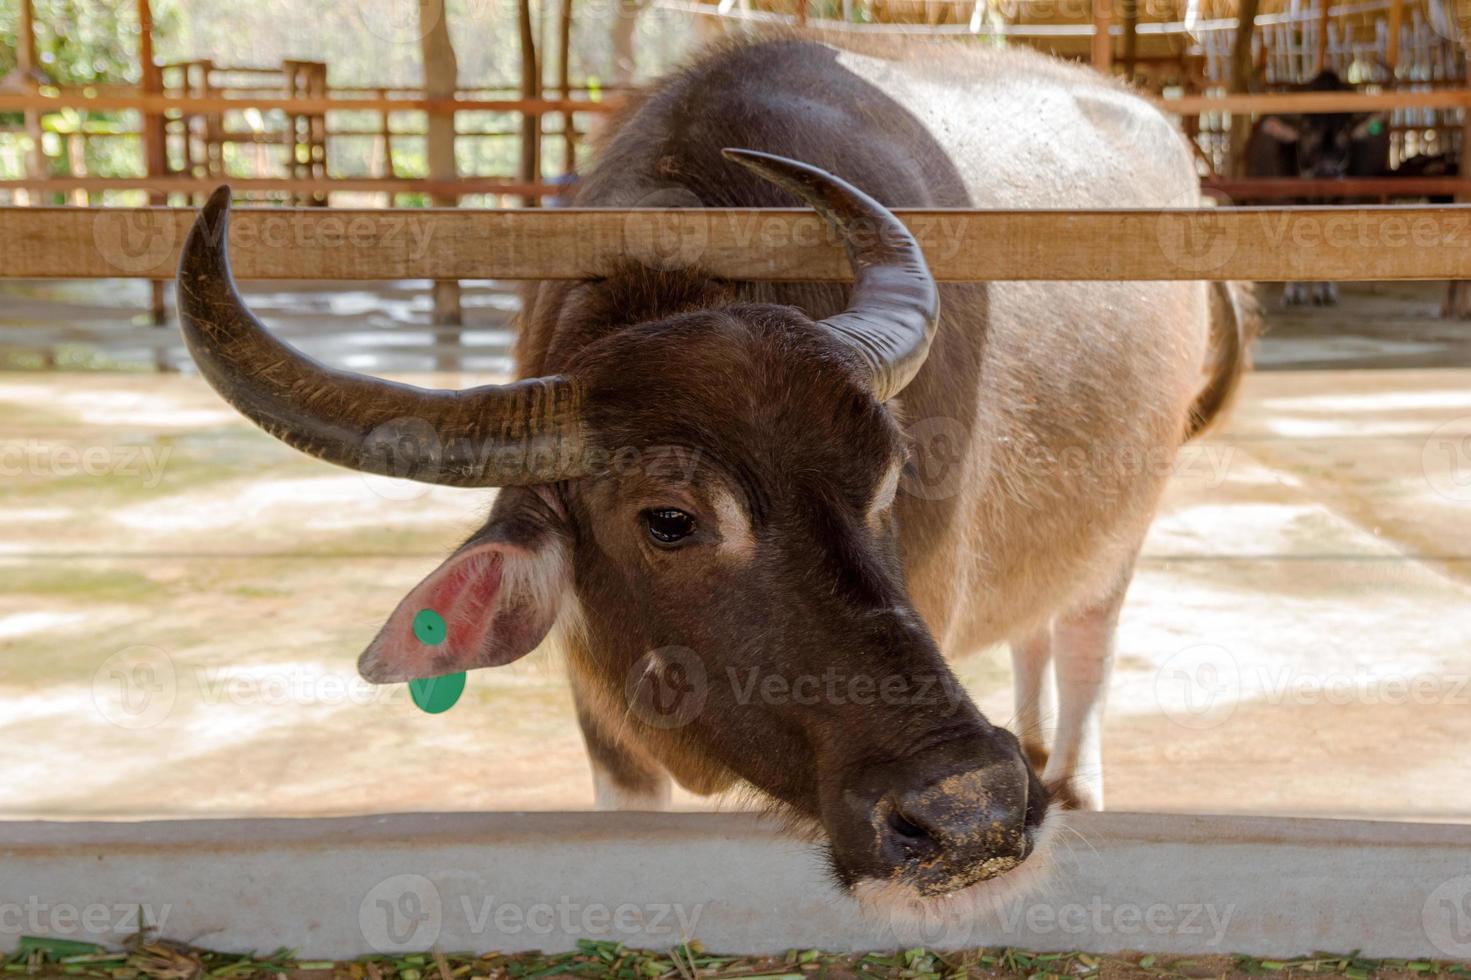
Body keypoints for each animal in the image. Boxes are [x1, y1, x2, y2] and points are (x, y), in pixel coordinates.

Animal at [177, 36, 1247, 906]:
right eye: (668, 519)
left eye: (886, 478)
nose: (970, 812)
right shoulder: (601, 719)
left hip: (1130, 521)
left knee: (1085, 639)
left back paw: (1068, 776)